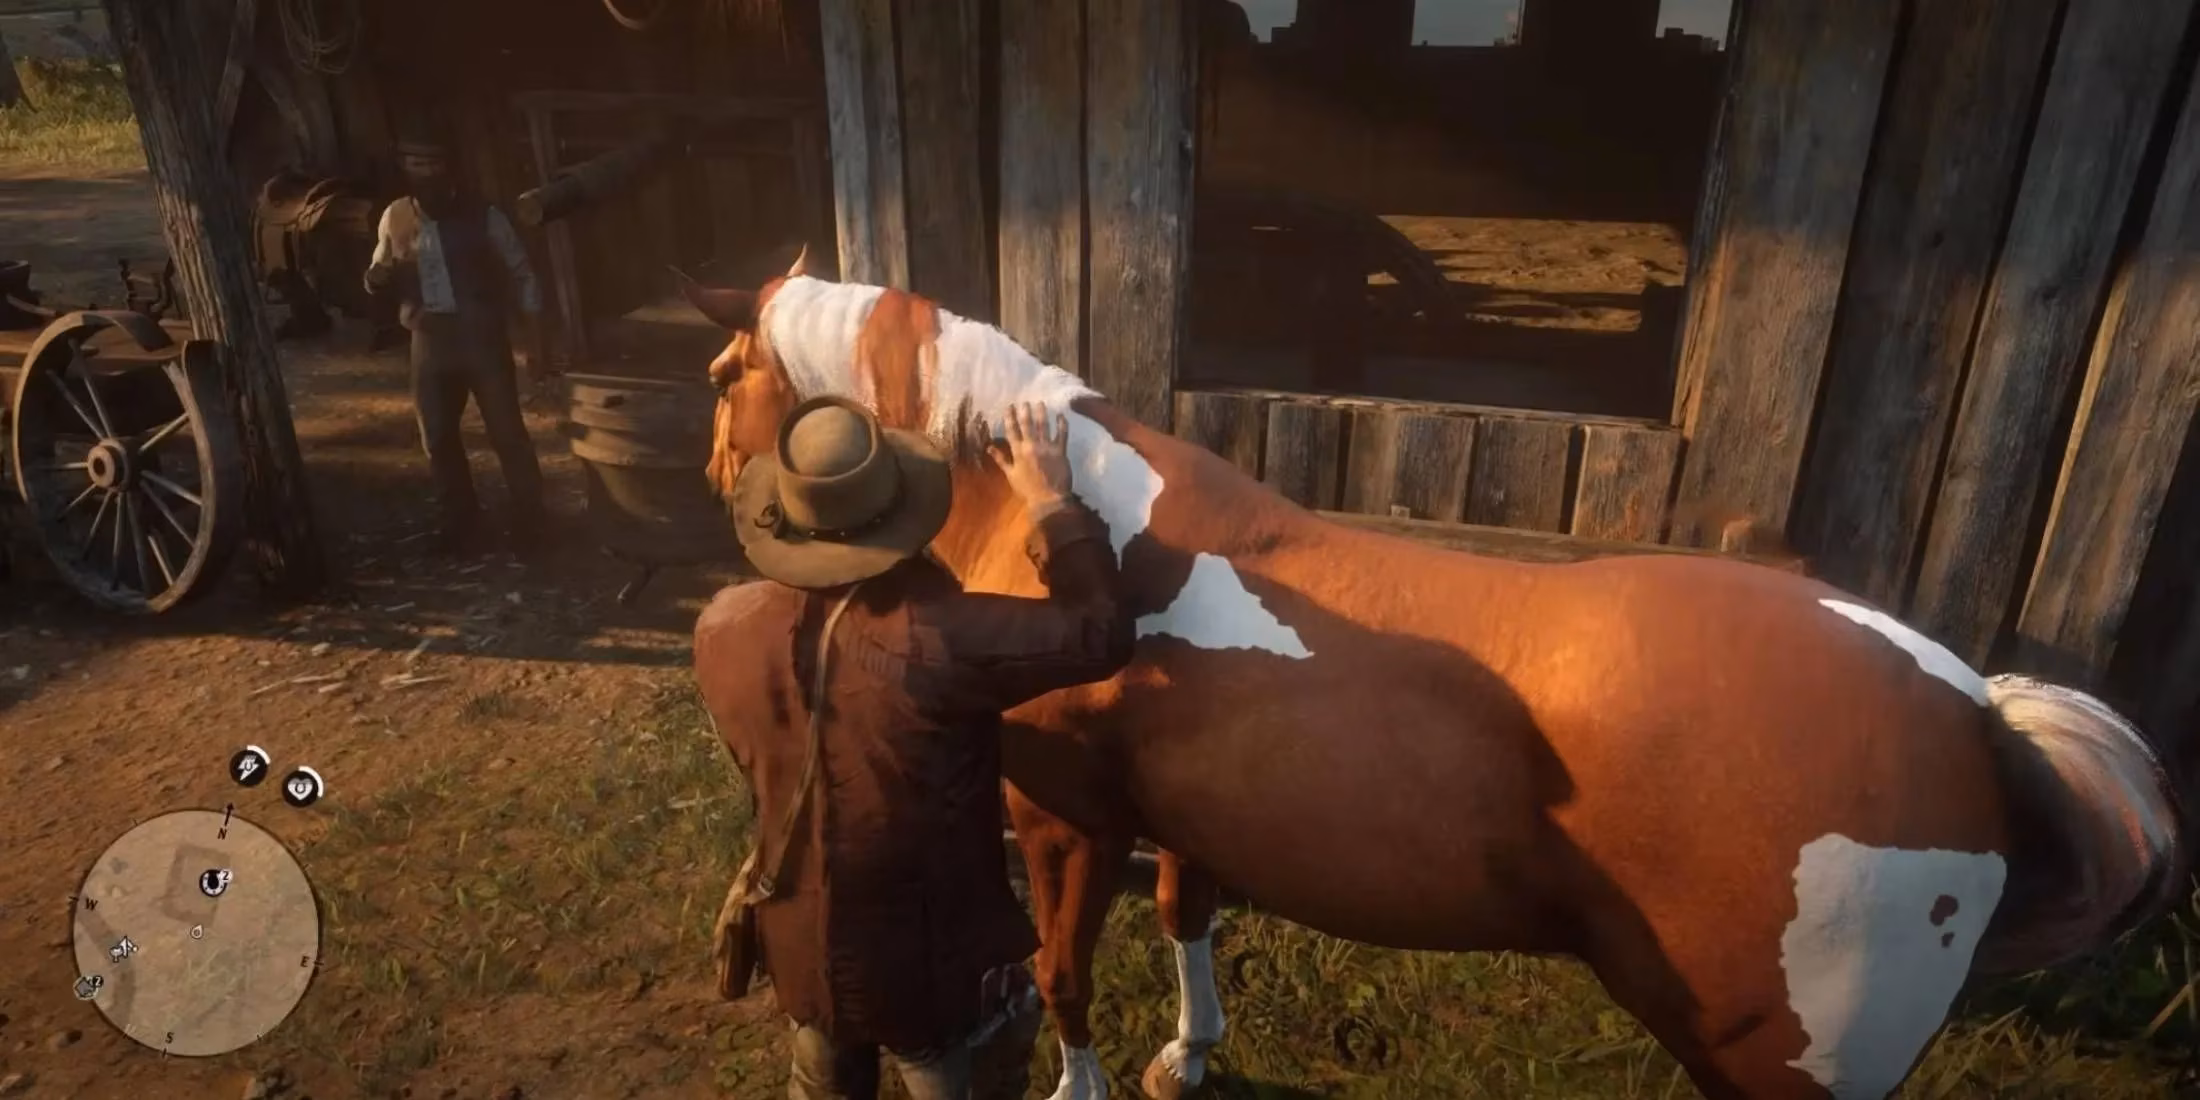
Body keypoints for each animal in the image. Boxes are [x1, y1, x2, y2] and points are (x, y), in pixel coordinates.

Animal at [679, 254, 2186, 1100]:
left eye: (718, 371)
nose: (707, 480)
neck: (1088, 514)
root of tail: (1978, 716)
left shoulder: (1063, 829)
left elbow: (1060, 978)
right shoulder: (1184, 823)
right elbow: (1188, 924)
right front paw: (1190, 1055)